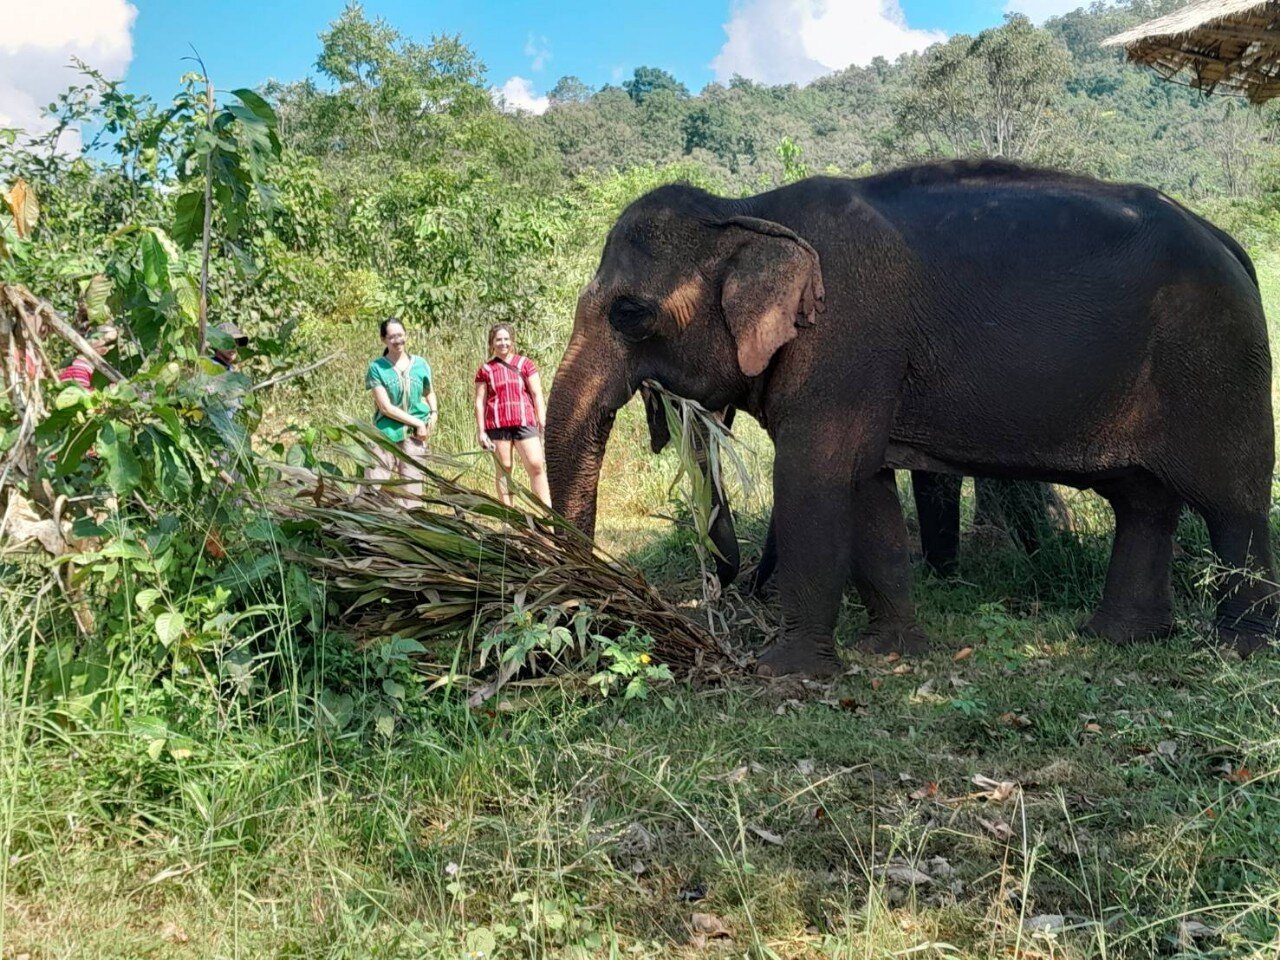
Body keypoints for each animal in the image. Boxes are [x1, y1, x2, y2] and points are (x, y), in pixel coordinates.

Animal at [545, 160, 1274, 675]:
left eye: (629, 313)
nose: (727, 582)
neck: (745, 210)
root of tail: (1229, 242)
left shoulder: (847, 339)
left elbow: (814, 480)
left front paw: (785, 674)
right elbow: (866, 488)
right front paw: (890, 652)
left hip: (1218, 364)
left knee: (1232, 505)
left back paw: (1236, 650)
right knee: (1142, 501)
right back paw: (1118, 638)